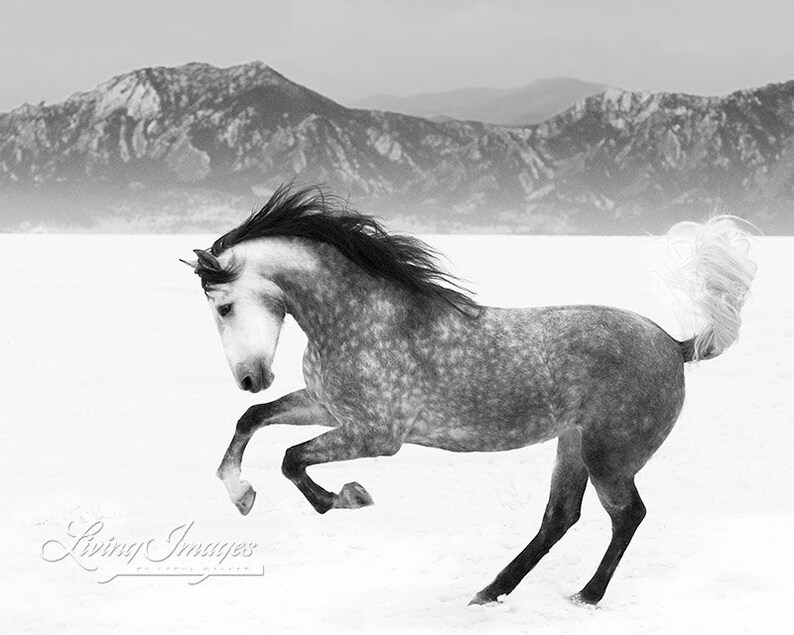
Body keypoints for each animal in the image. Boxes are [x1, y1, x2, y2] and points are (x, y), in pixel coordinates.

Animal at [182, 185, 756, 606]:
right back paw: (491, 592)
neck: (360, 318)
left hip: (608, 454)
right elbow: (253, 419)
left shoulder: (376, 435)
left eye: (224, 307)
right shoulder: (326, 406)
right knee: (561, 517)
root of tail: (676, 345)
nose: (250, 376)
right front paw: (240, 494)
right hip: (572, 445)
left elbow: (290, 459)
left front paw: (348, 496)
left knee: (627, 515)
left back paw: (586, 596)